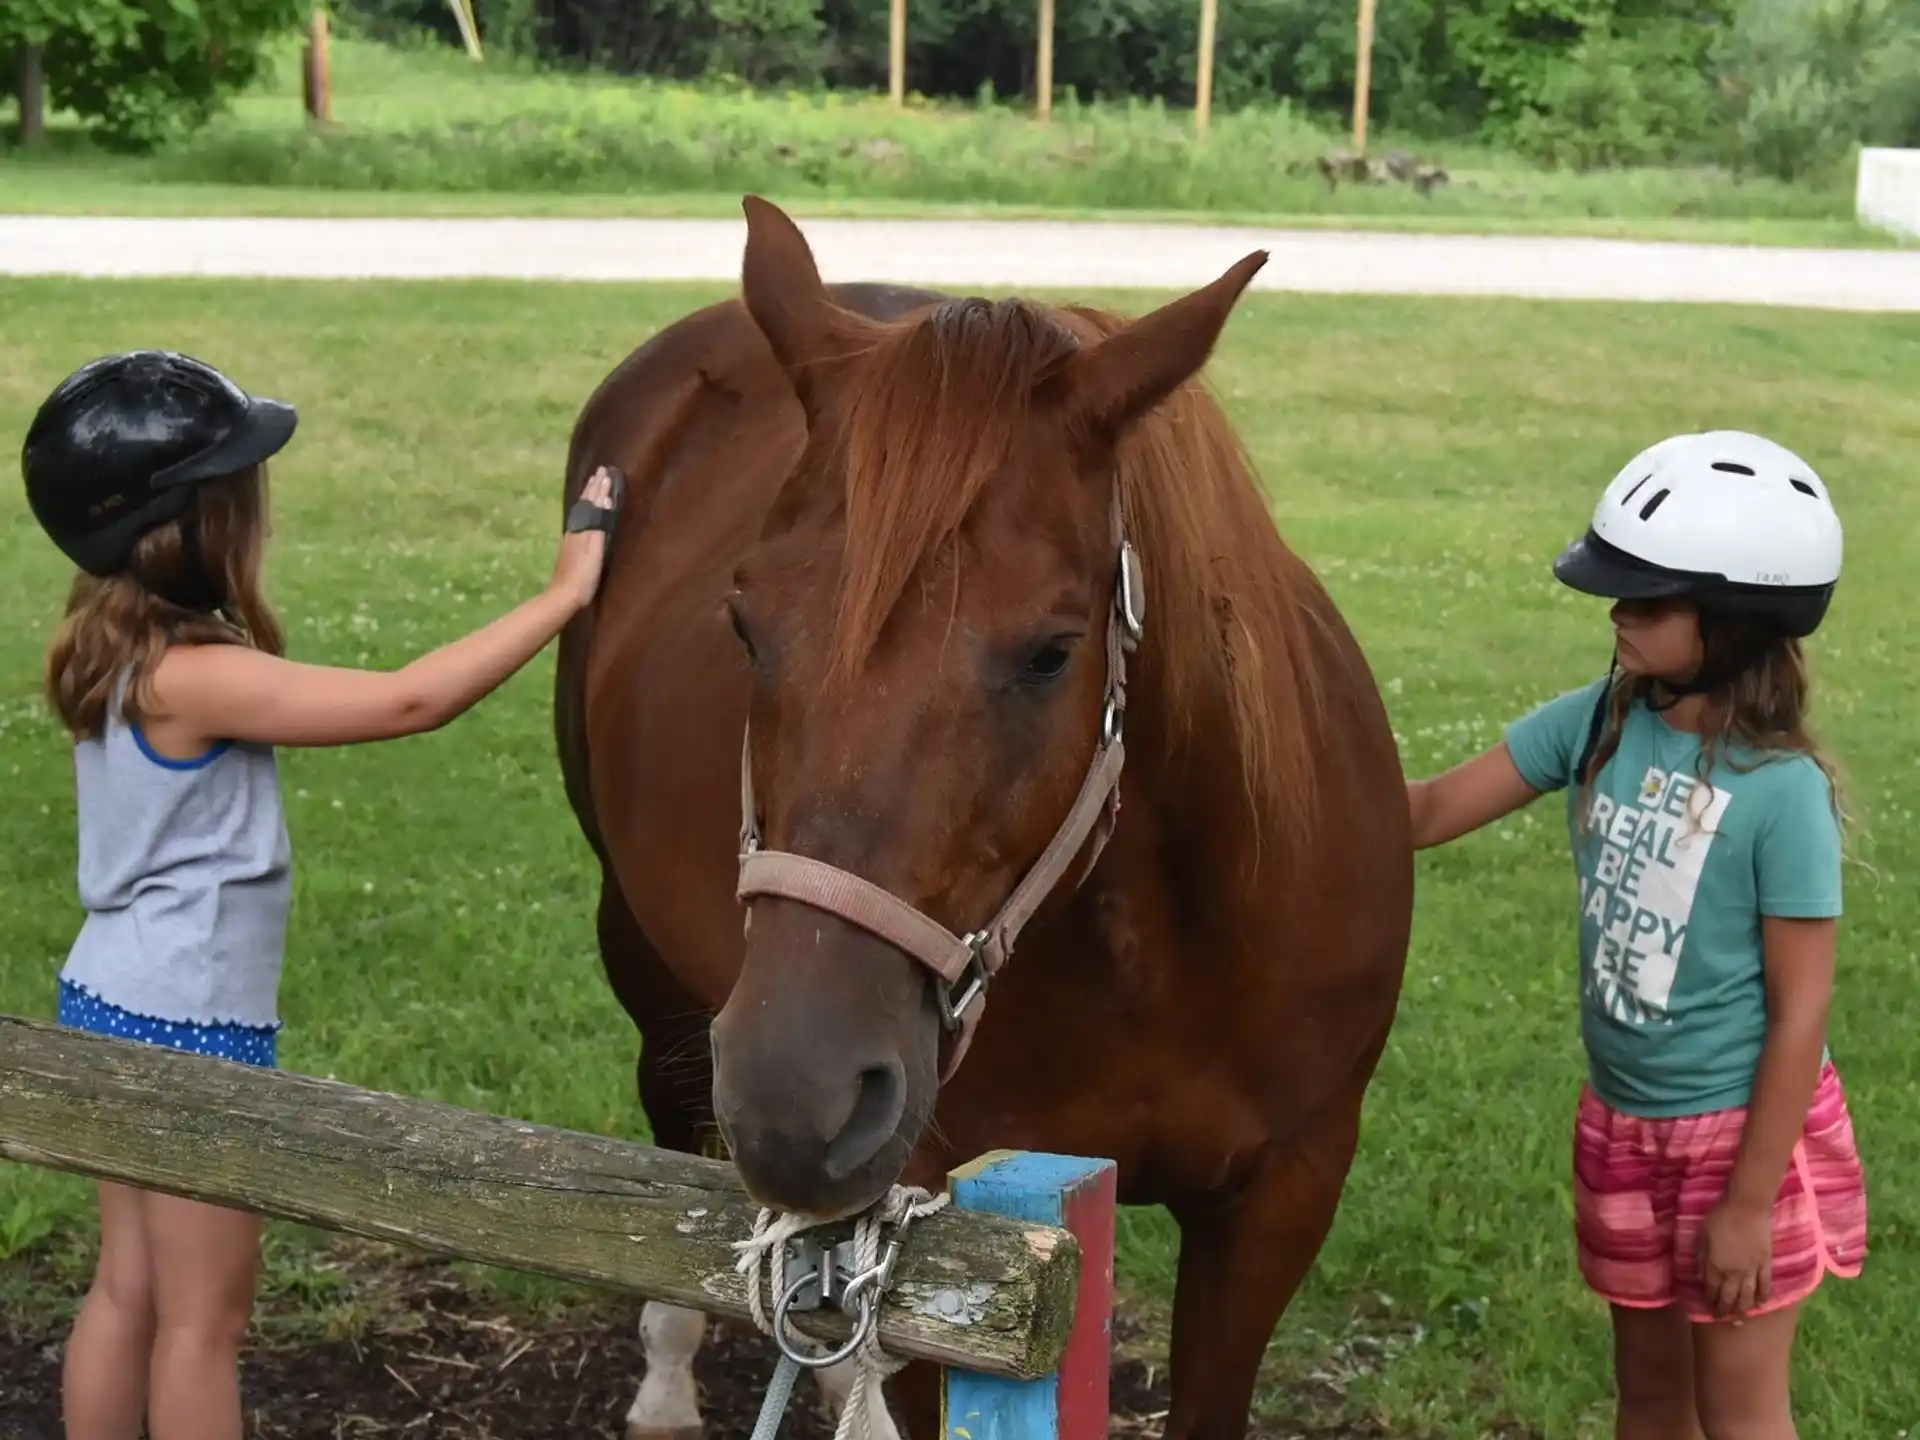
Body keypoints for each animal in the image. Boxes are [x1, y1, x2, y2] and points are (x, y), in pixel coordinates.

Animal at [552, 196, 1413, 1440]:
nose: (795, 1098)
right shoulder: (935, 1238)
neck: (1153, 950)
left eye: (1052, 651)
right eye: (745, 622)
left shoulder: (1284, 1193)